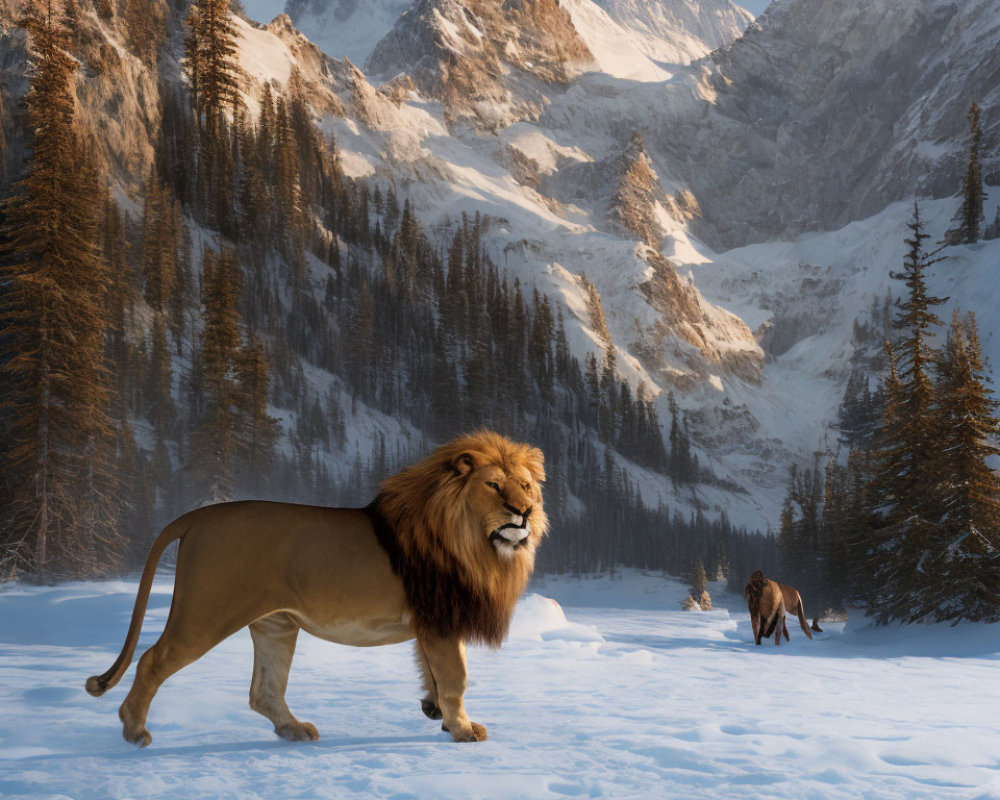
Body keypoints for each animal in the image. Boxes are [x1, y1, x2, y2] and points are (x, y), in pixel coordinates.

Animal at [88, 434, 548, 748]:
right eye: (493, 486)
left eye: (525, 486)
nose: (524, 512)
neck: (479, 542)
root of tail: (196, 517)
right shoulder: (441, 619)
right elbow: (457, 676)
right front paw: (463, 729)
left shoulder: (431, 619)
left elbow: (434, 671)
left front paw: (434, 710)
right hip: (206, 611)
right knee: (152, 661)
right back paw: (134, 730)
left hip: (275, 625)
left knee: (263, 691)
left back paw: (294, 729)